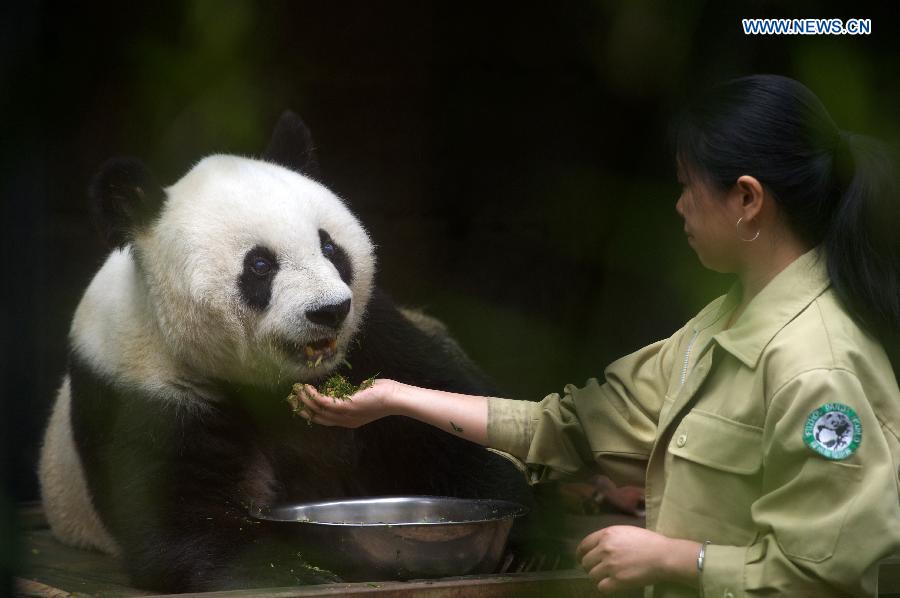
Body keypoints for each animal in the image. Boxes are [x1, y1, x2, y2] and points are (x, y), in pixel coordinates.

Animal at [38, 112, 536, 596]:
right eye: (260, 265)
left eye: (330, 247)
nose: (329, 311)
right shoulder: (138, 383)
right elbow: (174, 505)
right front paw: (289, 569)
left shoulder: (375, 332)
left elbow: (440, 420)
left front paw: (523, 541)